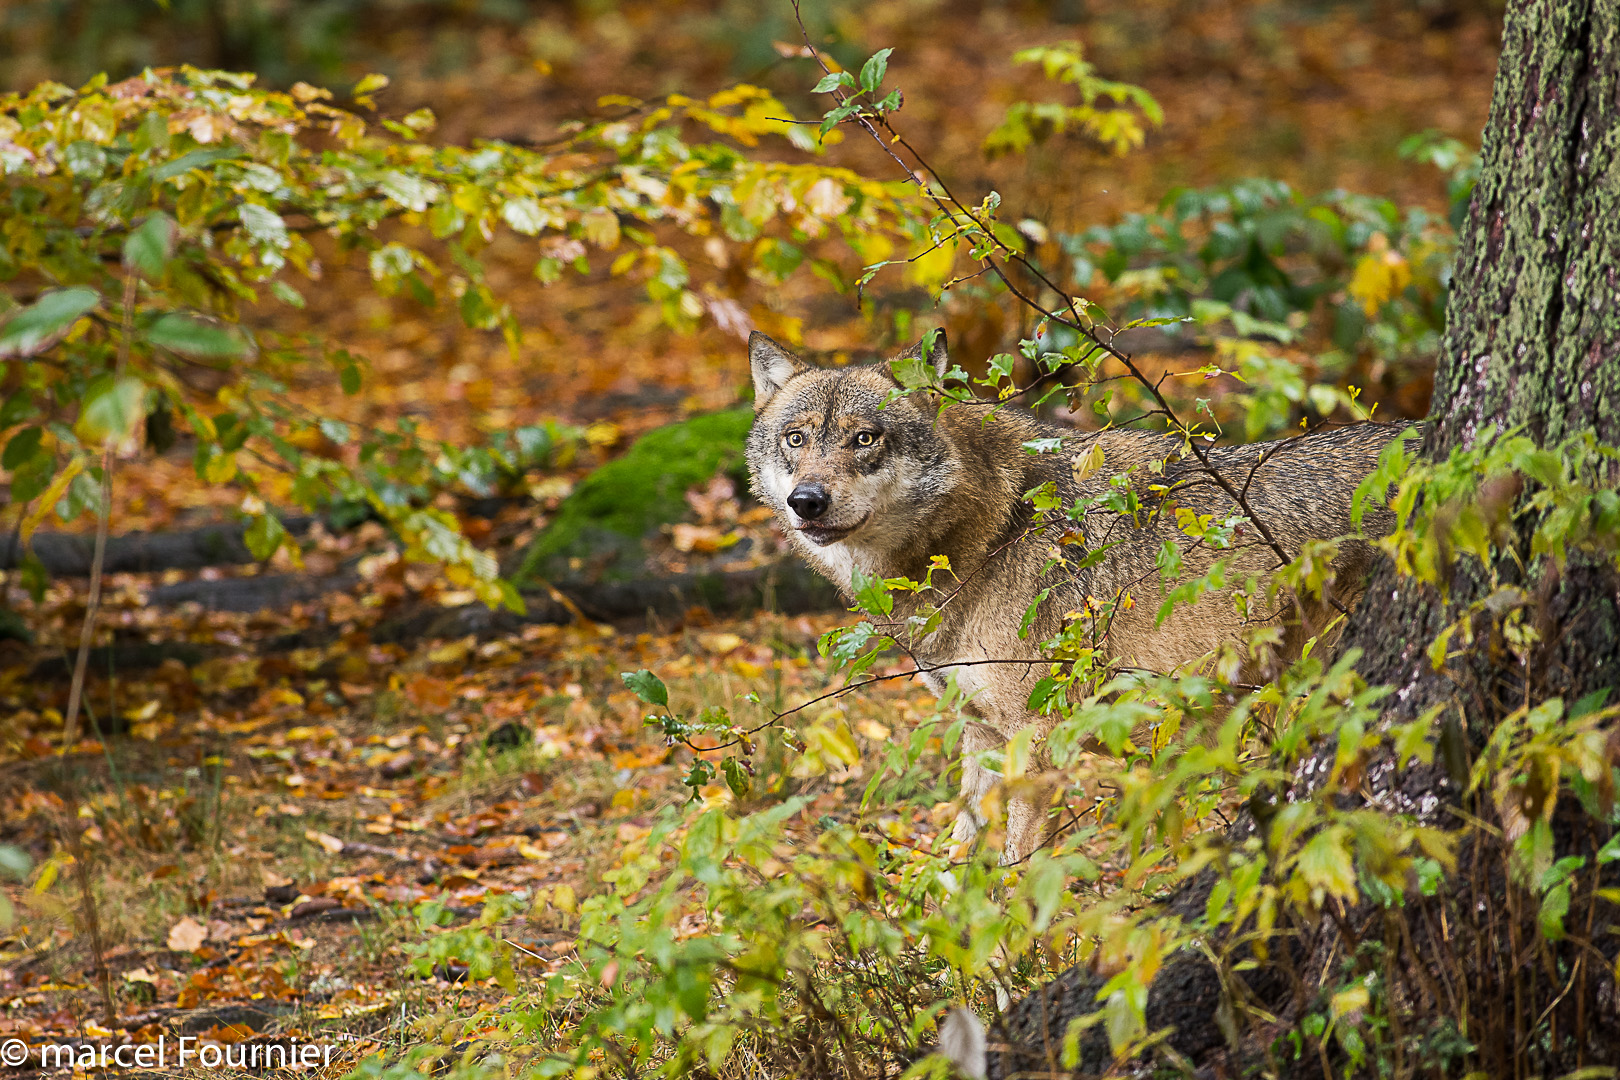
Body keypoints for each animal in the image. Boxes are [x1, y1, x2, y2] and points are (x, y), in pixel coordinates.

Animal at [745, 330, 1406, 861]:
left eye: (864, 439)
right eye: (795, 439)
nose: (807, 501)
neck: (994, 527)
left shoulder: (1034, 739)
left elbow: (1014, 878)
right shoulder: (979, 733)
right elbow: (956, 867)